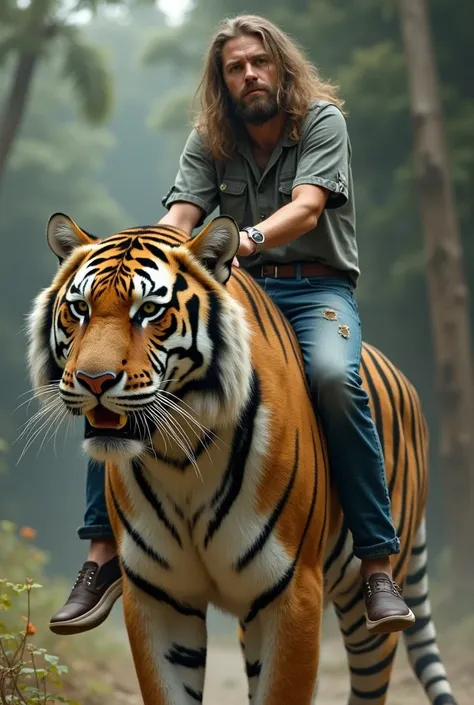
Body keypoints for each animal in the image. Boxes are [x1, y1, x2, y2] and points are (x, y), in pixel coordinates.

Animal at [25, 214, 456, 704]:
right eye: (79, 309)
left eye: (149, 311)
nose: (93, 380)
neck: (178, 453)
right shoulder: (157, 597)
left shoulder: (294, 593)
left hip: (369, 613)